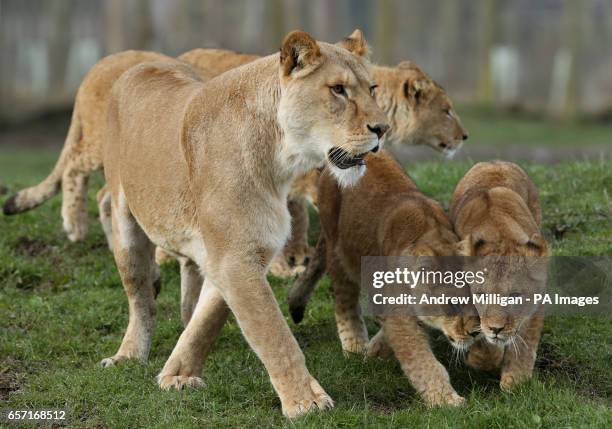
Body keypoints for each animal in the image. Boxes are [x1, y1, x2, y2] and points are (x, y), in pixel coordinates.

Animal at [100, 30, 388, 418]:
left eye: (372, 88)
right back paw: (128, 355)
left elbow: (208, 319)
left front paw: (177, 375)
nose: (383, 129)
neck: (281, 161)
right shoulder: (235, 259)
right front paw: (305, 402)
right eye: (338, 90)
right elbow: (275, 334)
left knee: (188, 277)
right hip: (125, 222)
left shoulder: (242, 254)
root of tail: (142, 64)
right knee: (140, 298)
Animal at [296, 150, 478, 404]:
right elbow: (421, 360)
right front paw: (447, 400)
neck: (435, 236)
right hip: (338, 250)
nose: (476, 333)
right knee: (344, 303)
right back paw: (354, 346)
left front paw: (376, 350)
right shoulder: (401, 316)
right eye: (452, 304)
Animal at [450, 160, 548, 388]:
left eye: (515, 296)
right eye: (481, 295)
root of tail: (495, 162)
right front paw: (482, 359)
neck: (500, 234)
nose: (496, 329)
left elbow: (526, 340)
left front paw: (516, 380)